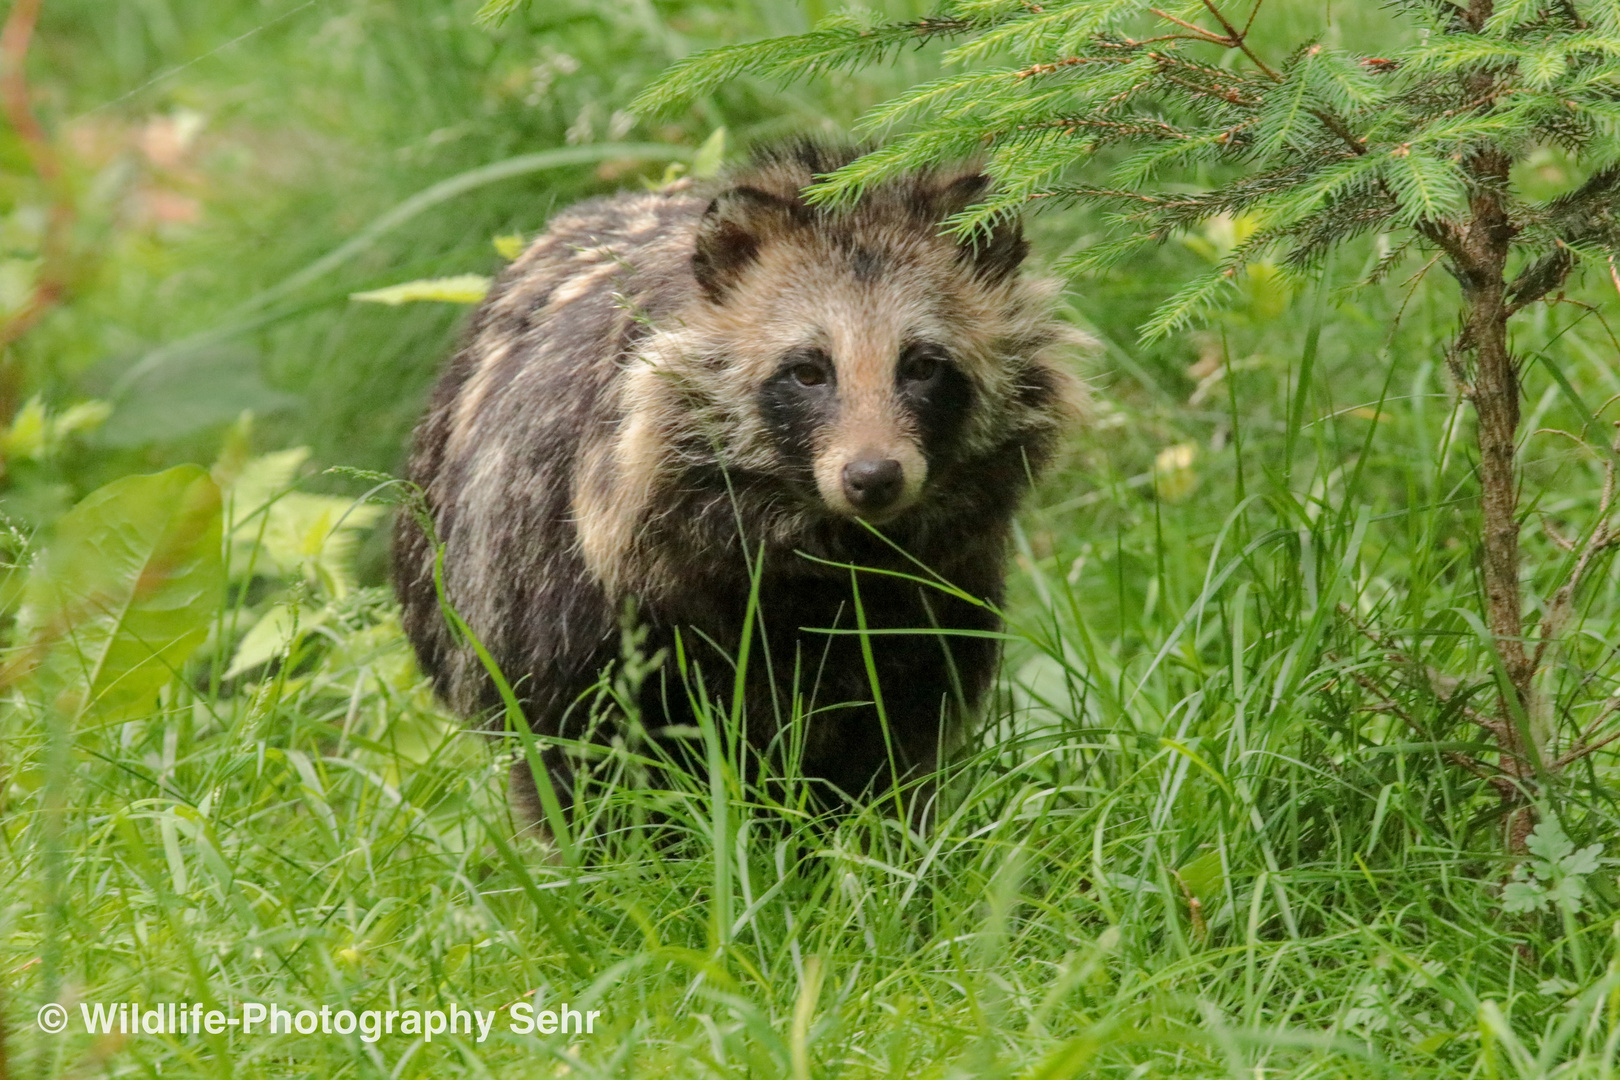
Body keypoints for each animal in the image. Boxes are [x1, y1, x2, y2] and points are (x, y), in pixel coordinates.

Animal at [388, 143, 1075, 835]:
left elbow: (892, 752)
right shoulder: (564, 595)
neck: (821, 553)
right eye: (808, 371)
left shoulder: (932, 606)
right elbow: (579, 768)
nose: (873, 477)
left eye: (923, 366)